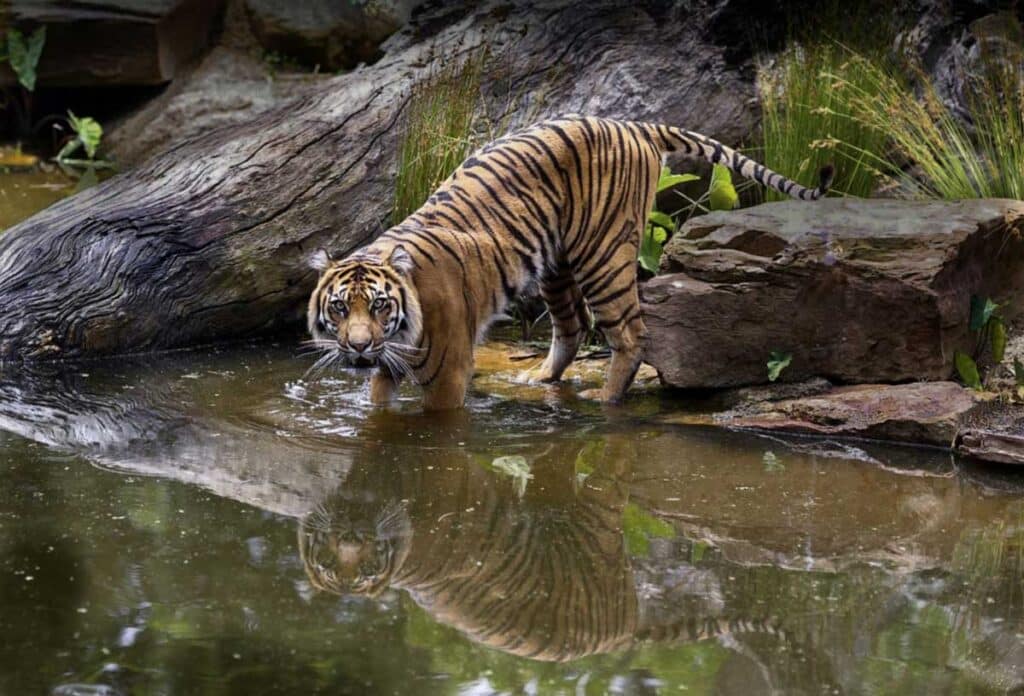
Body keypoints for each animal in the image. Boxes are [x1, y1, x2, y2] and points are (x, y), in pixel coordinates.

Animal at [307, 115, 833, 409]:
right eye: (339, 308)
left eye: (379, 306)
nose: (358, 347)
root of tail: (633, 124)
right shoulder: (387, 367)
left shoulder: (449, 371)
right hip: (555, 264)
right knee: (574, 325)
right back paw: (540, 378)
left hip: (604, 256)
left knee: (630, 333)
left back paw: (607, 401)